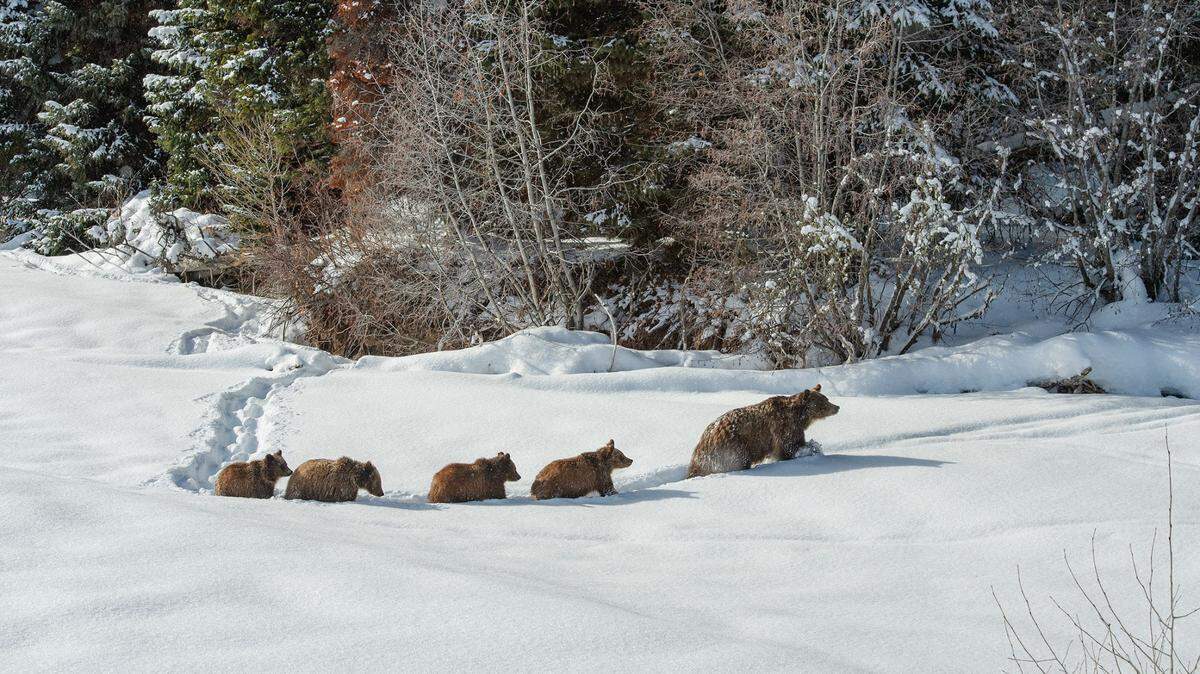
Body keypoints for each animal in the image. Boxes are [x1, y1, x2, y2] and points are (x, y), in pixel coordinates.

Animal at [686, 384, 839, 478]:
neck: (800, 417)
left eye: (827, 398)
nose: (837, 407)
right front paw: (810, 449)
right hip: (733, 446)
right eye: (823, 402)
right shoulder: (784, 427)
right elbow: (789, 447)